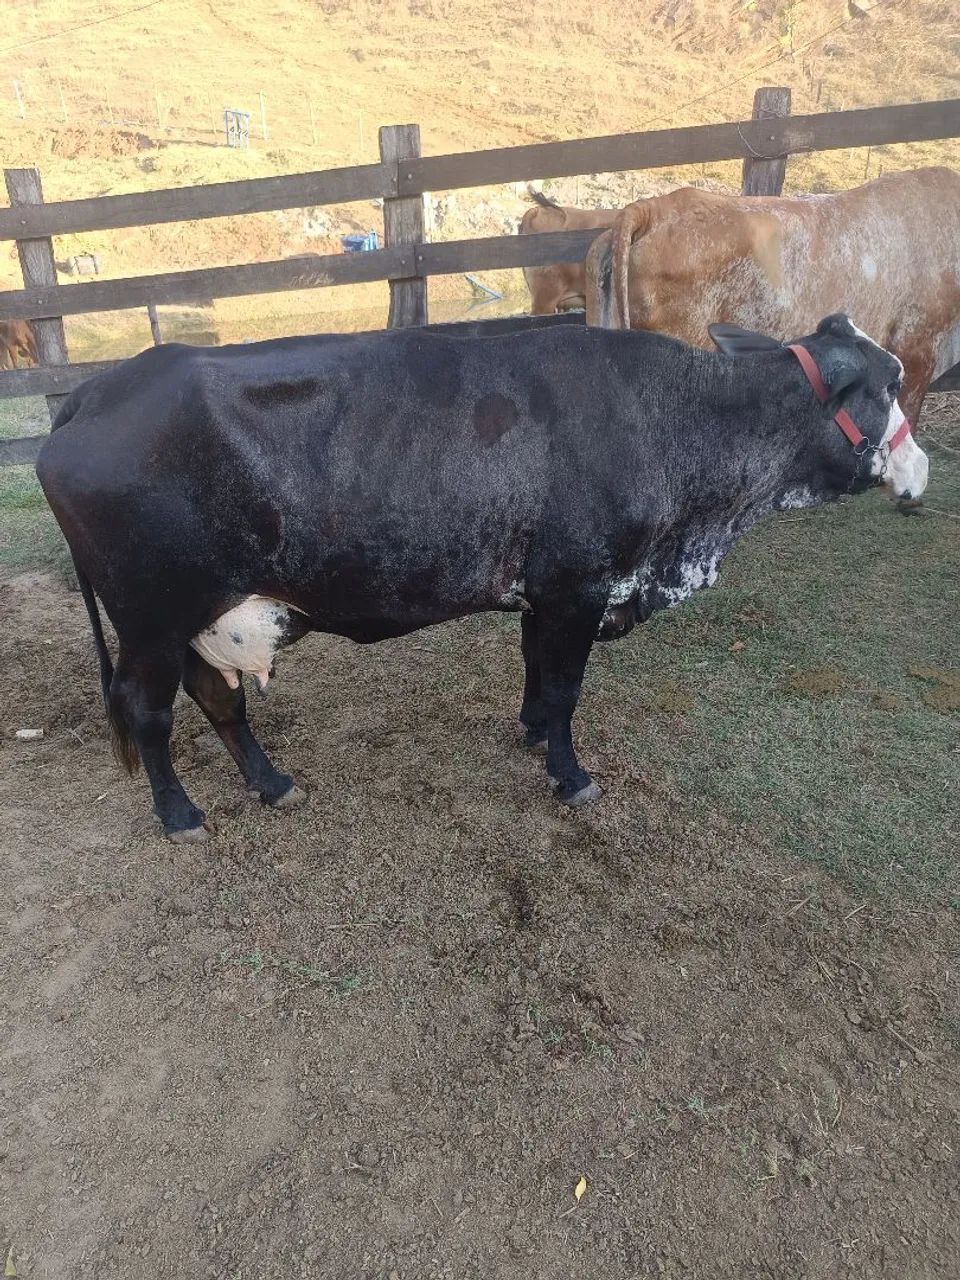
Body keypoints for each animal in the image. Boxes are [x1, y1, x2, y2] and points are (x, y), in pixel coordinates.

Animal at [36, 313, 927, 842]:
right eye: (889, 387)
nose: (921, 466)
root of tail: (95, 389)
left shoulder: (546, 589)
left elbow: (536, 667)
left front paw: (531, 731)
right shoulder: (580, 584)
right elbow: (566, 686)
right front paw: (569, 774)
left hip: (194, 616)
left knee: (217, 699)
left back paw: (271, 782)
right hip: (149, 619)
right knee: (147, 711)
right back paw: (179, 813)